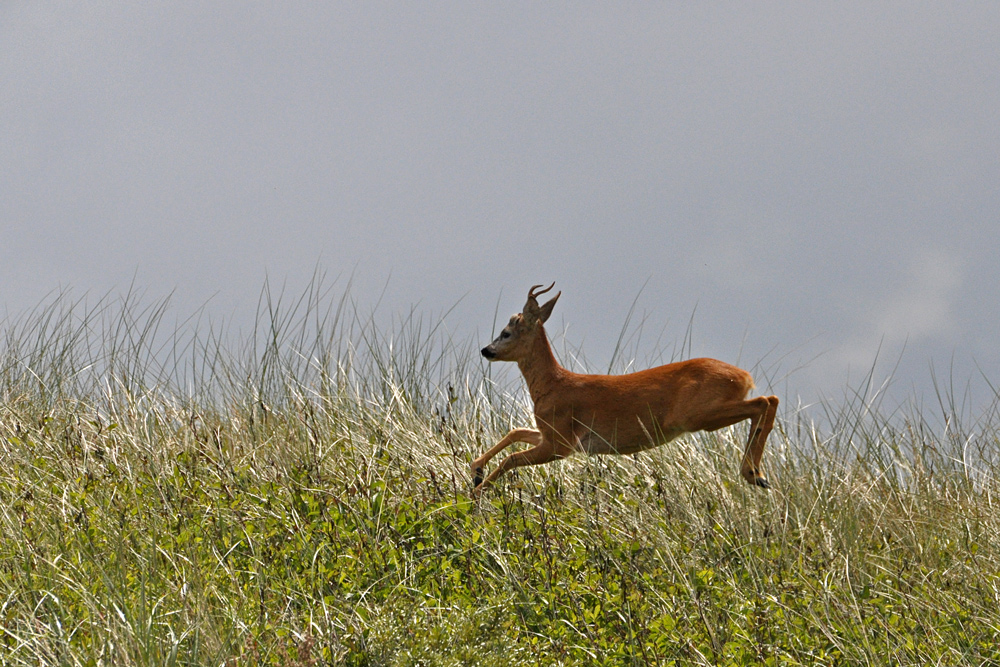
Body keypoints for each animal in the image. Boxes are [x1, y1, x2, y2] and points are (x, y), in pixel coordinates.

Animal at [472, 282, 776, 496]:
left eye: (506, 332)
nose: (486, 350)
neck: (553, 385)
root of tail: (744, 376)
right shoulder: (554, 436)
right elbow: (516, 432)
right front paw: (476, 469)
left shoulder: (560, 441)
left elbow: (511, 458)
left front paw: (476, 494)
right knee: (769, 399)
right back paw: (758, 475)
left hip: (697, 415)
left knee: (764, 401)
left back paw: (753, 474)